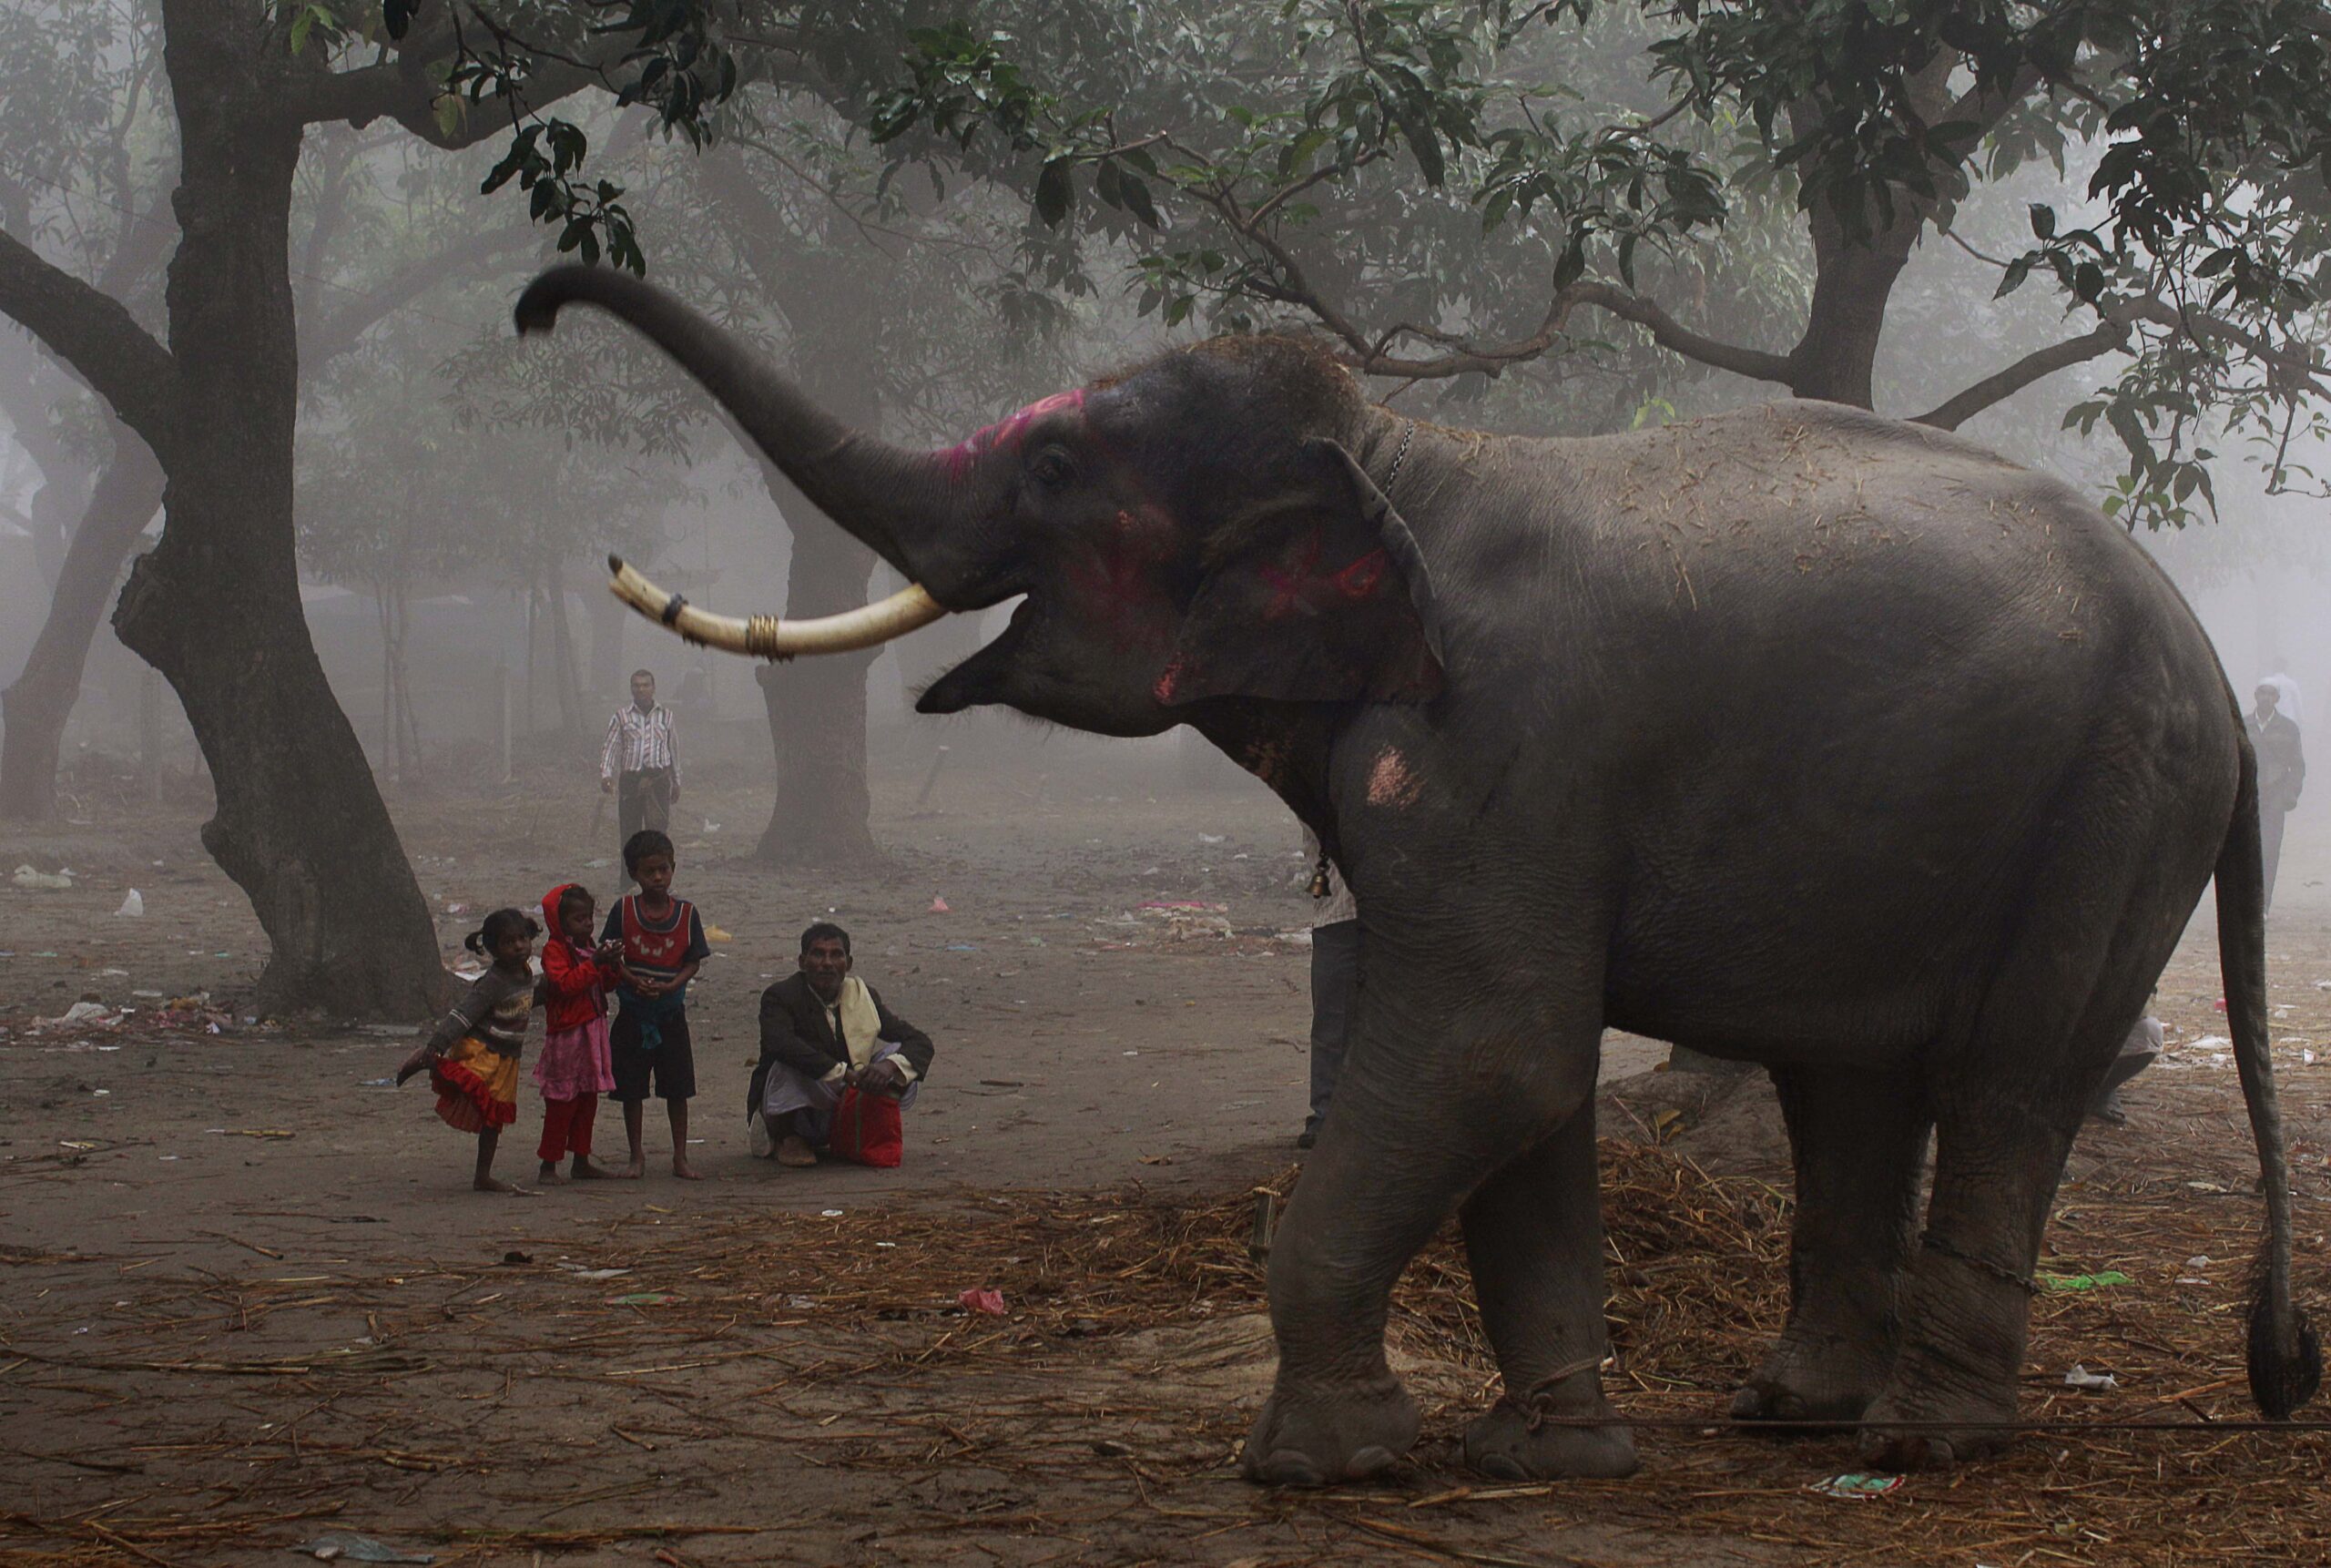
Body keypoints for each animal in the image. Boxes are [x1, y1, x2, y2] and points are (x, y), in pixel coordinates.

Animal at [510, 265, 2312, 1481]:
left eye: (1056, 473)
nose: (539, 301)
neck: (1402, 442)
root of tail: (2222, 680)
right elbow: (1529, 1080)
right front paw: (1551, 1457)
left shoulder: (1499, 752)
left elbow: (1492, 1049)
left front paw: (1324, 1461)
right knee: (1850, 1082)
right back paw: (1791, 1416)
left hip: (2112, 804)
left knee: (2010, 1078)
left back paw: (1927, 1443)